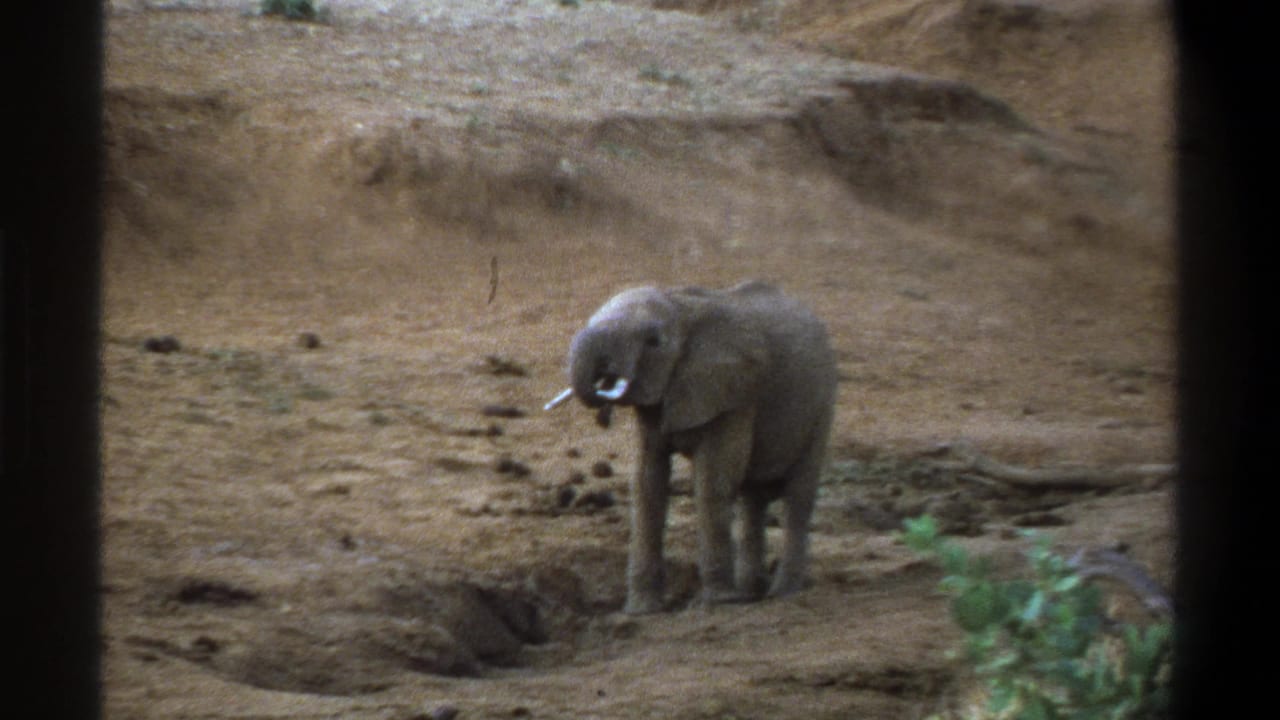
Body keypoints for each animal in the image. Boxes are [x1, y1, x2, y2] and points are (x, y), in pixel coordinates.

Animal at [547, 280, 837, 614]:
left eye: (653, 341)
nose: (603, 383)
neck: (681, 307)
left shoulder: (735, 391)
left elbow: (713, 481)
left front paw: (718, 602)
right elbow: (648, 483)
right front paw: (642, 611)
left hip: (822, 406)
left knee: (798, 497)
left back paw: (781, 593)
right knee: (753, 498)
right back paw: (751, 592)